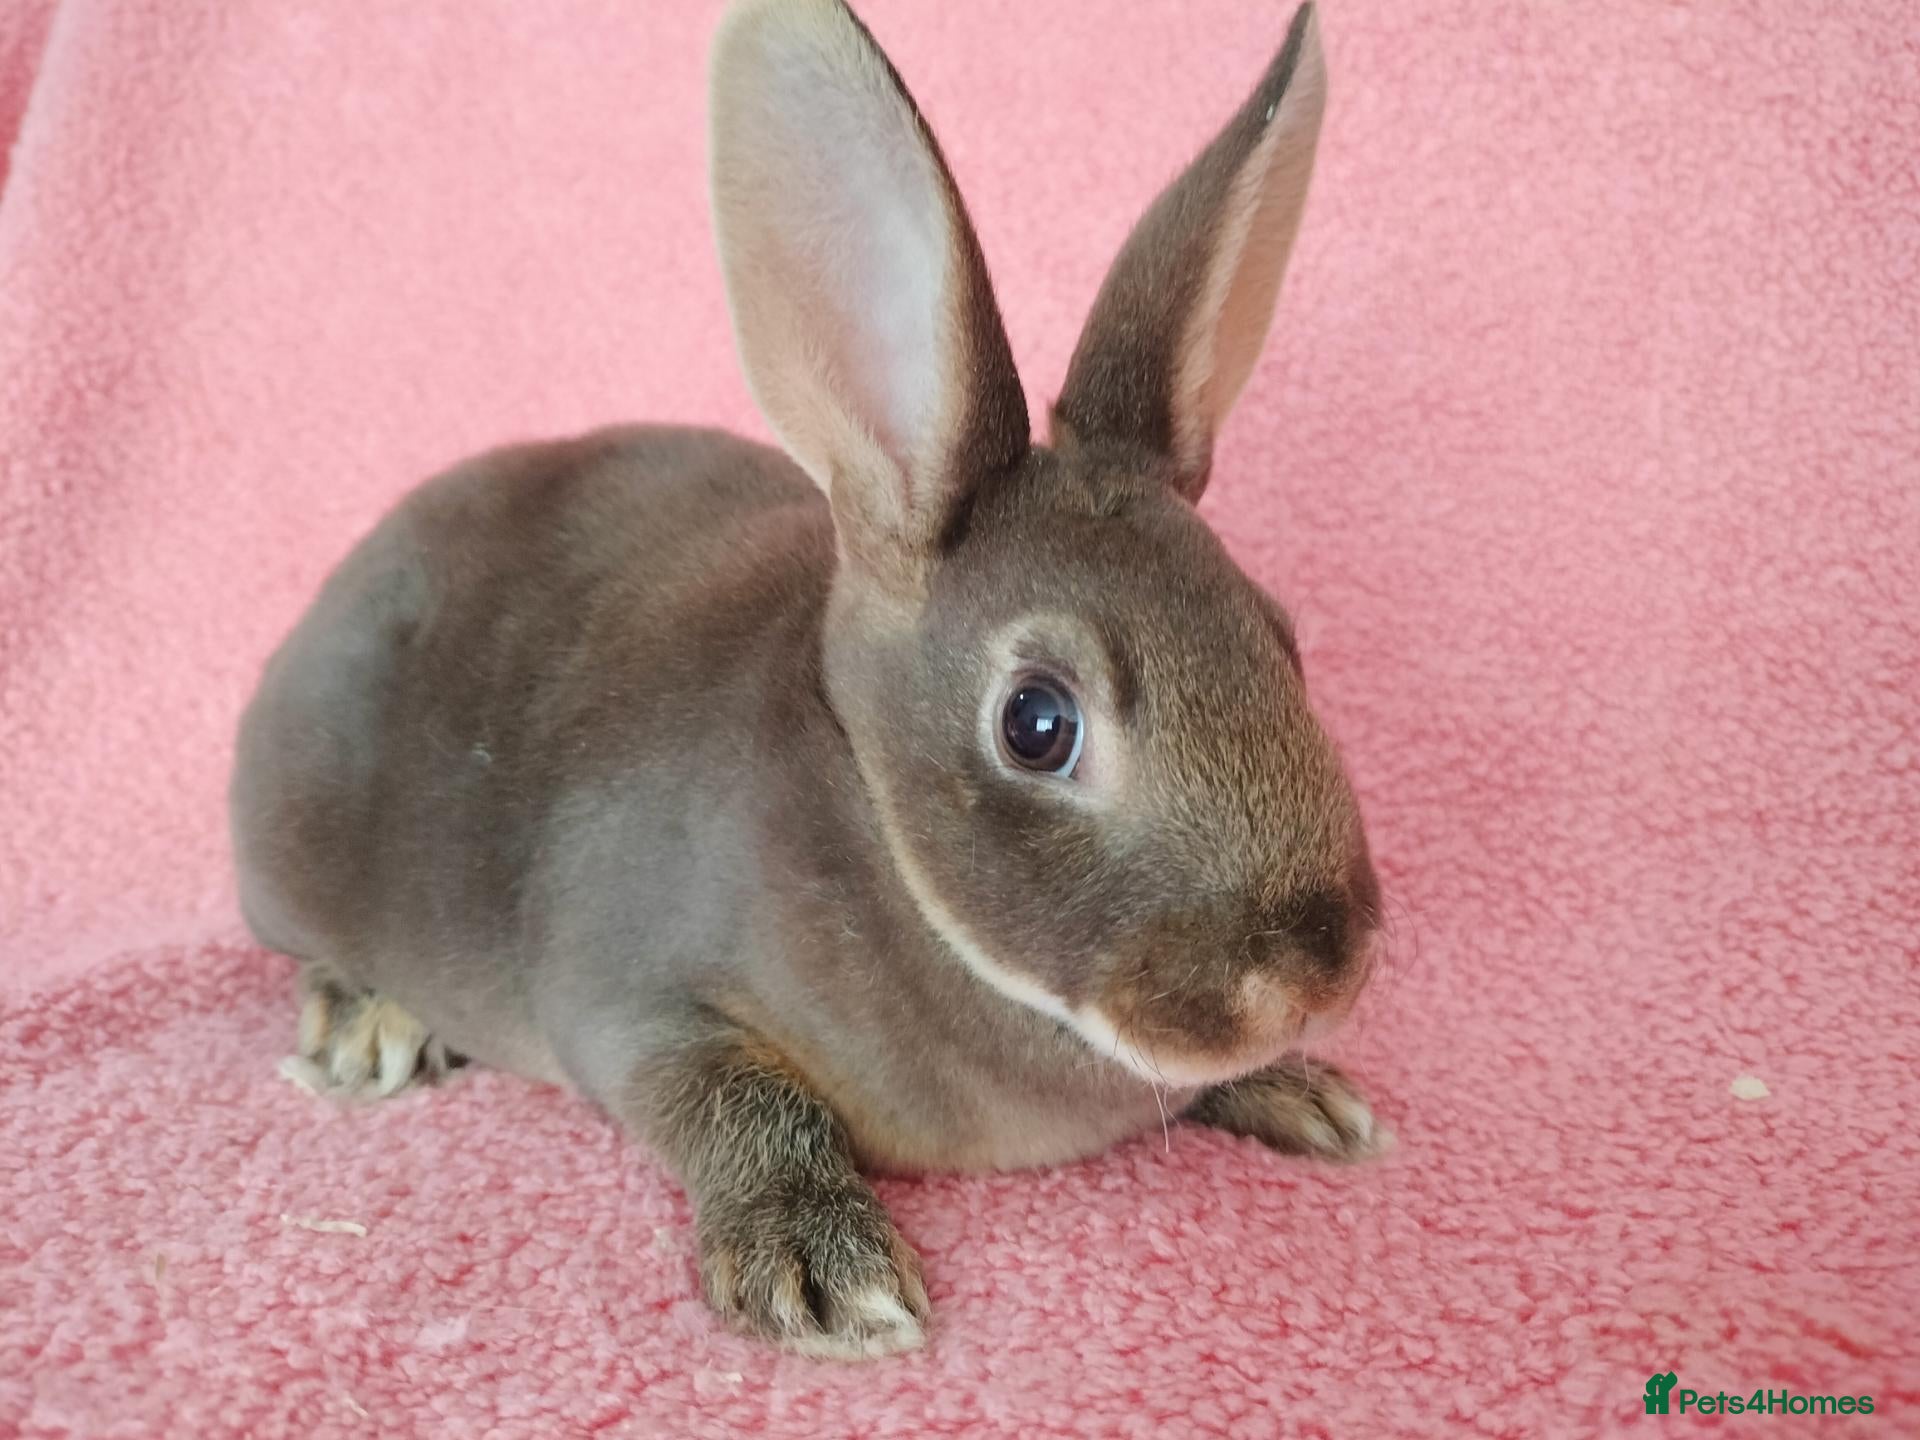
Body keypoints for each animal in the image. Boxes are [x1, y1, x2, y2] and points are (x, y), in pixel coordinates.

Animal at [231, 0, 1385, 1361]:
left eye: (1281, 636)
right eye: (1037, 722)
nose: (1318, 974)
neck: (880, 833)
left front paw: (1304, 1095)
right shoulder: (631, 997)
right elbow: (732, 1106)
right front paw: (825, 1266)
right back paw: (371, 1028)